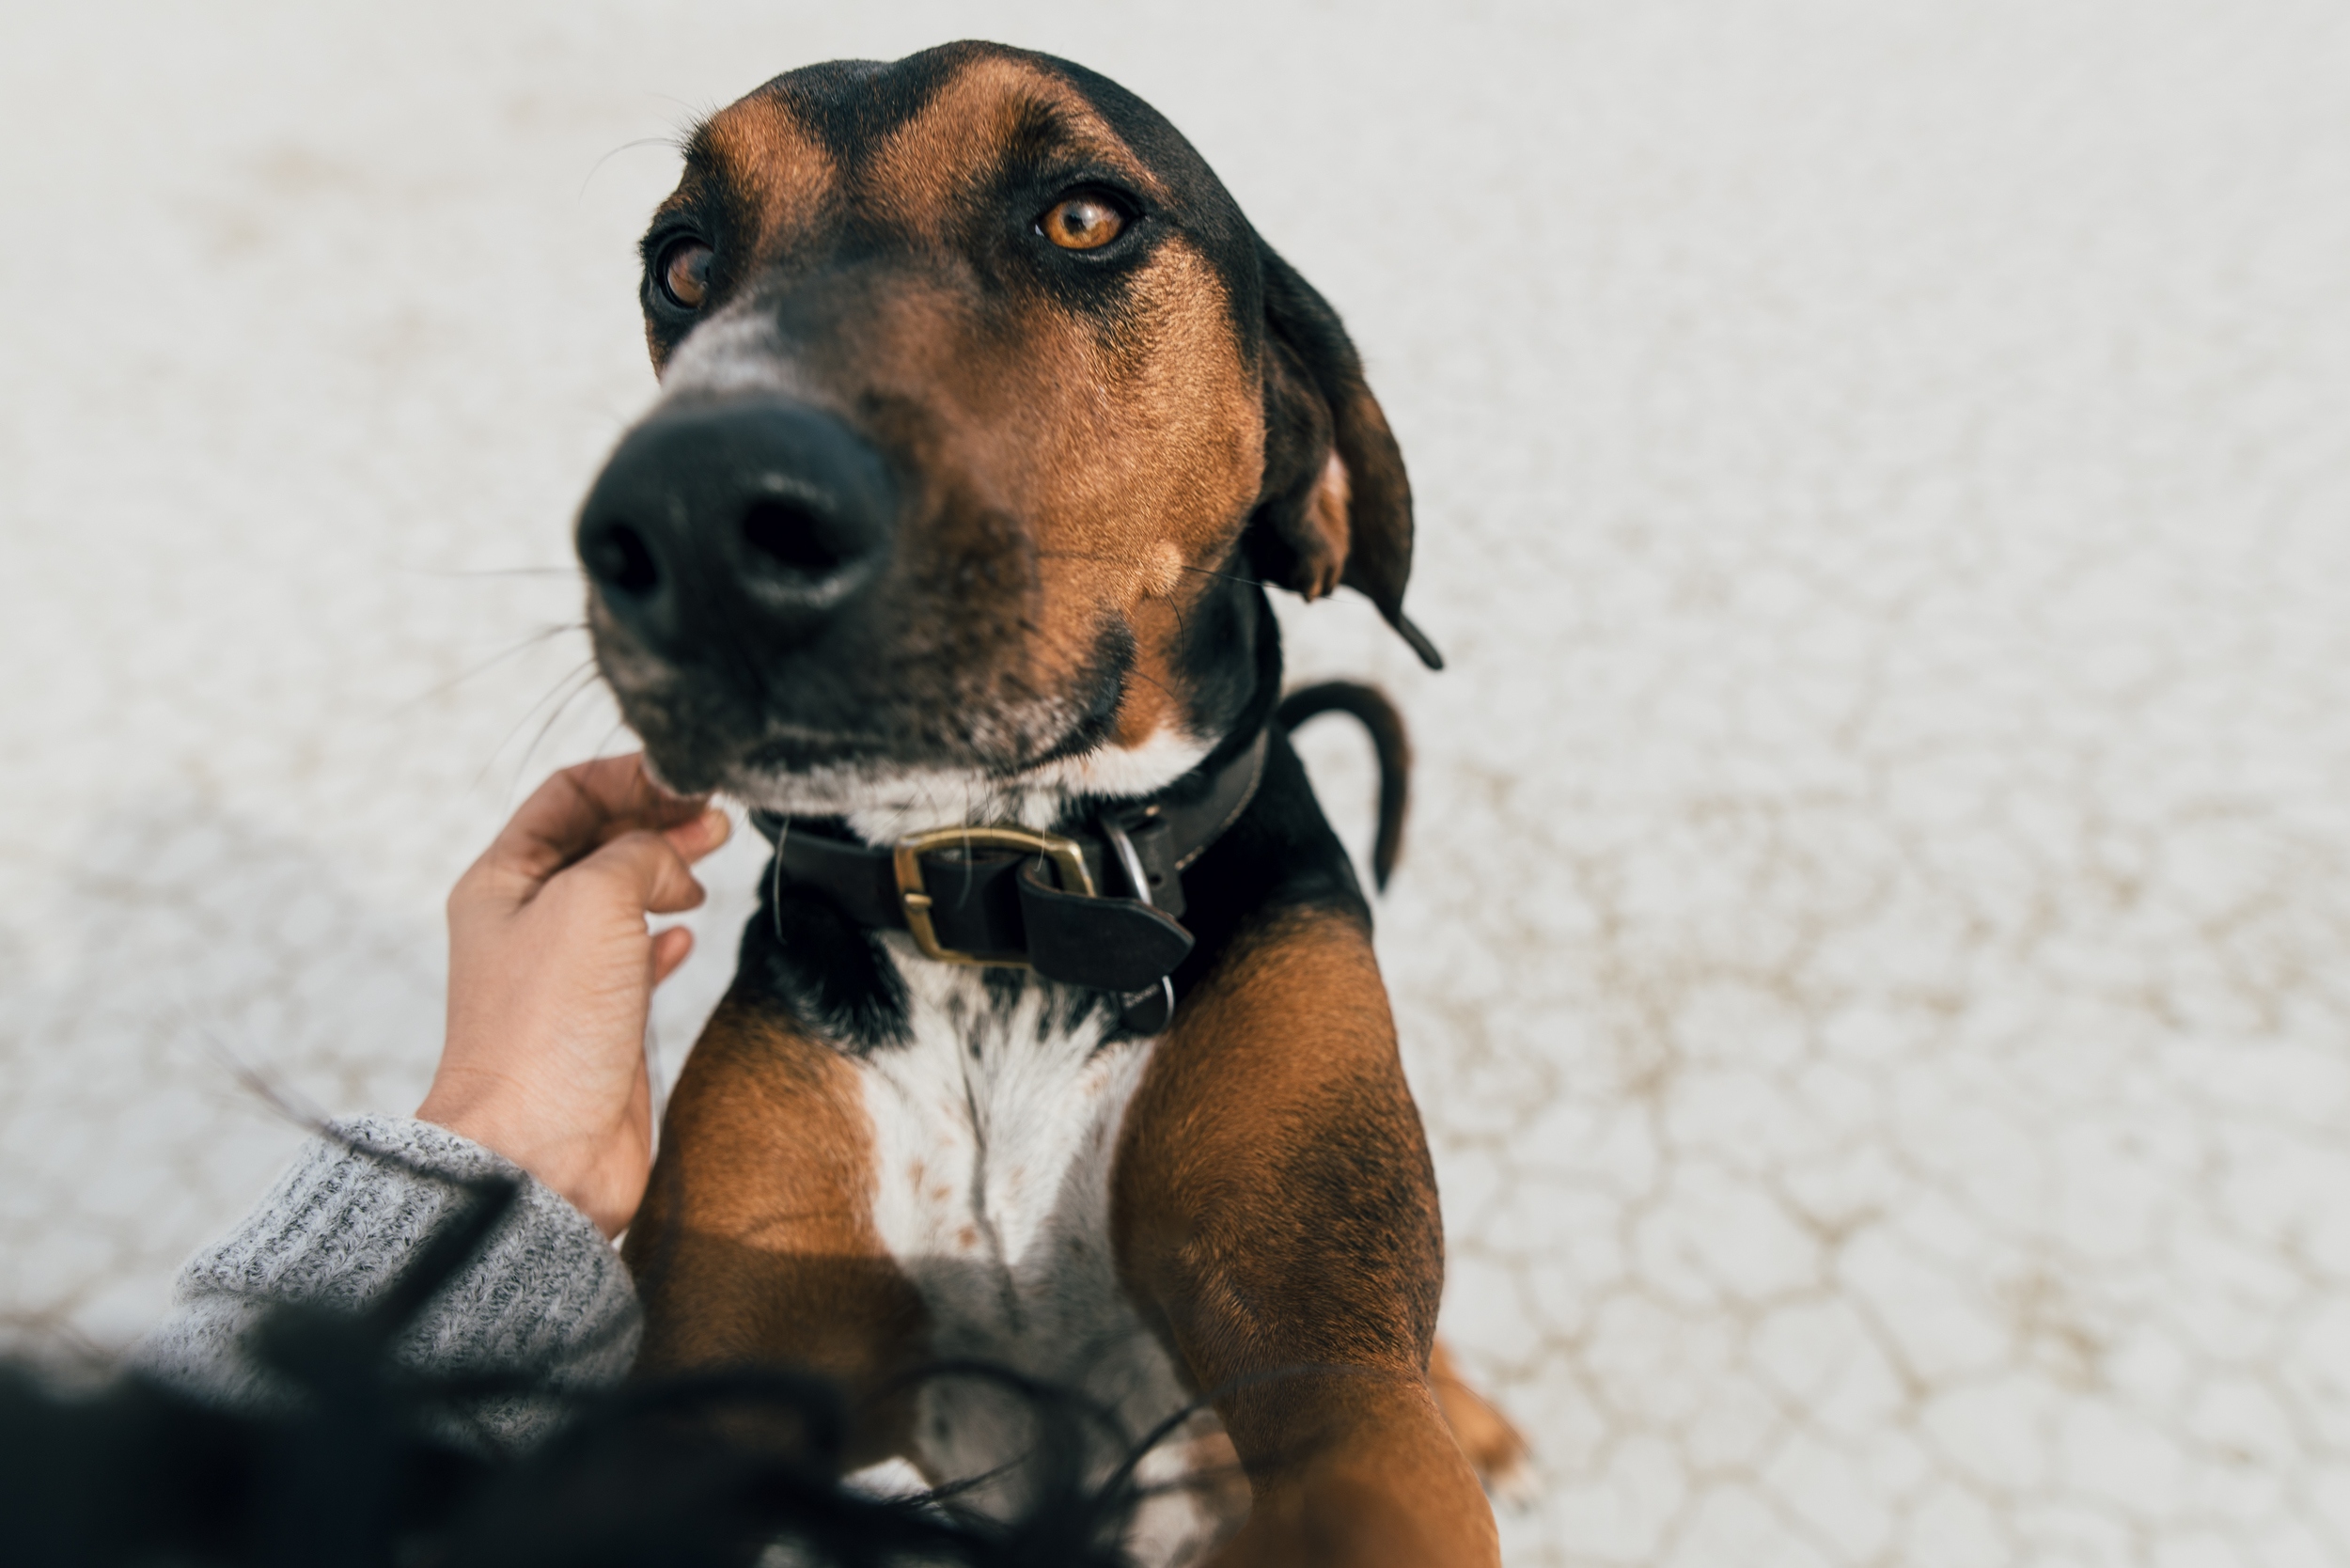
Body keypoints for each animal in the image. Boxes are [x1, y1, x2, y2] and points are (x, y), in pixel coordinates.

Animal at [575, 39, 1513, 1568]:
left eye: (1083, 217)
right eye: (684, 263)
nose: (694, 516)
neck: (1006, 896)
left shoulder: (1333, 1366)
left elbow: (1383, 1428)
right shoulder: (704, 1371)